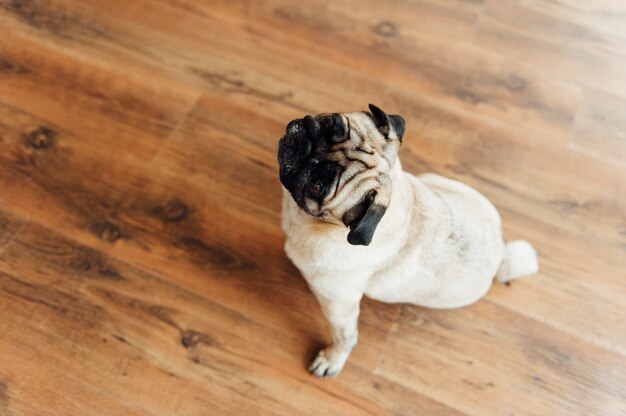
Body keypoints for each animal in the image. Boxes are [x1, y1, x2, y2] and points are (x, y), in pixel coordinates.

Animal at [278, 104, 536, 376]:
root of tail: (502, 252)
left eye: (318, 186)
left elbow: (344, 336)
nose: (308, 149)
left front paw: (333, 358)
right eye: (331, 124)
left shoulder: (340, 304)